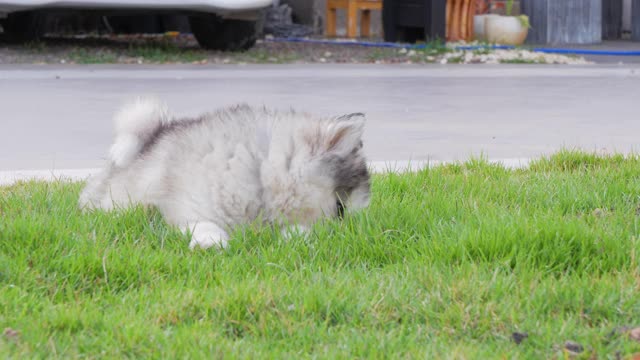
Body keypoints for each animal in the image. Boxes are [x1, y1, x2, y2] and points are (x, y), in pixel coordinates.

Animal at [79, 98, 370, 250]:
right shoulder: (189, 208)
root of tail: (154, 134)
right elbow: (204, 224)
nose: (346, 237)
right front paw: (211, 242)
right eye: (340, 209)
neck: (260, 170)